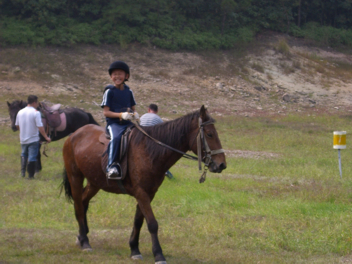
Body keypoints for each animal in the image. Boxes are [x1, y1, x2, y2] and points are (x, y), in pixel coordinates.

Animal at [61, 105, 226, 264]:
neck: (150, 150)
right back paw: (85, 242)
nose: (222, 164)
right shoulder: (141, 193)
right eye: (210, 134)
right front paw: (158, 255)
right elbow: (152, 223)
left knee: (83, 202)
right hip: (75, 177)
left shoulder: (149, 193)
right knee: (78, 206)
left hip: (95, 182)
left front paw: (134, 249)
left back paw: (81, 236)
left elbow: (138, 221)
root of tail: (74, 135)